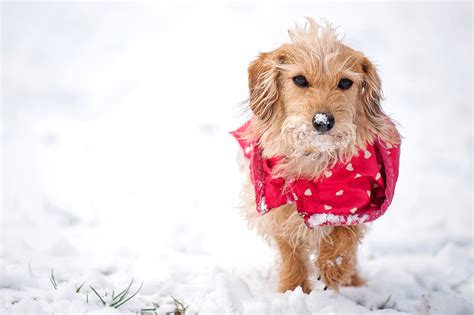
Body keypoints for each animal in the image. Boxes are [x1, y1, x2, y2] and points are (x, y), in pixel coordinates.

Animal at [233, 19, 400, 294]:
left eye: (345, 83)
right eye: (300, 79)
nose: (323, 121)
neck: (314, 155)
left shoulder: (358, 198)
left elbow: (345, 233)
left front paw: (334, 268)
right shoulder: (276, 201)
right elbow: (290, 249)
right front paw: (293, 290)